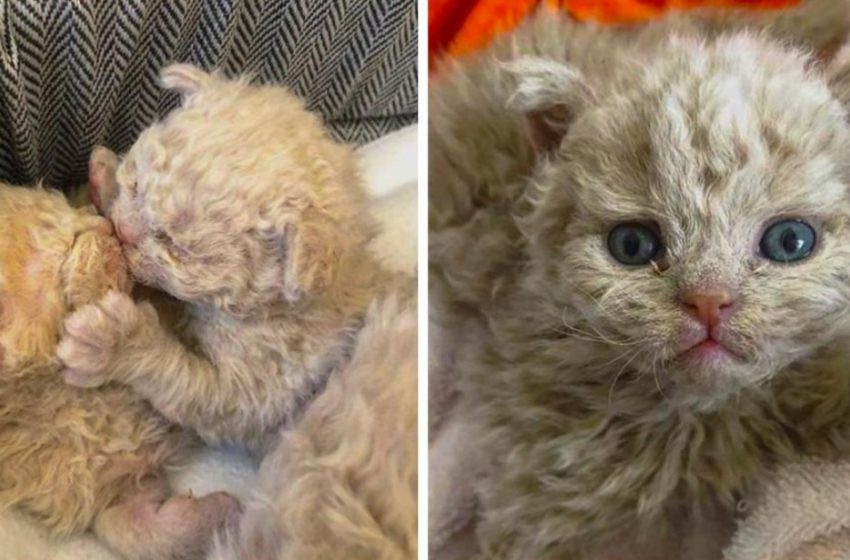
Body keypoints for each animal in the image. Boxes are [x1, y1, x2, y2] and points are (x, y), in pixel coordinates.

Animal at [0, 186, 238, 560]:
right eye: (71, 242)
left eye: (70, 208)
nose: (107, 227)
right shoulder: (94, 479)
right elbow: (125, 530)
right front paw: (218, 513)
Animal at [55, 64, 414, 556]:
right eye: (137, 184)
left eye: (178, 247)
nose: (124, 233)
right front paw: (104, 181)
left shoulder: (257, 393)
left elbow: (182, 378)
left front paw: (110, 342)